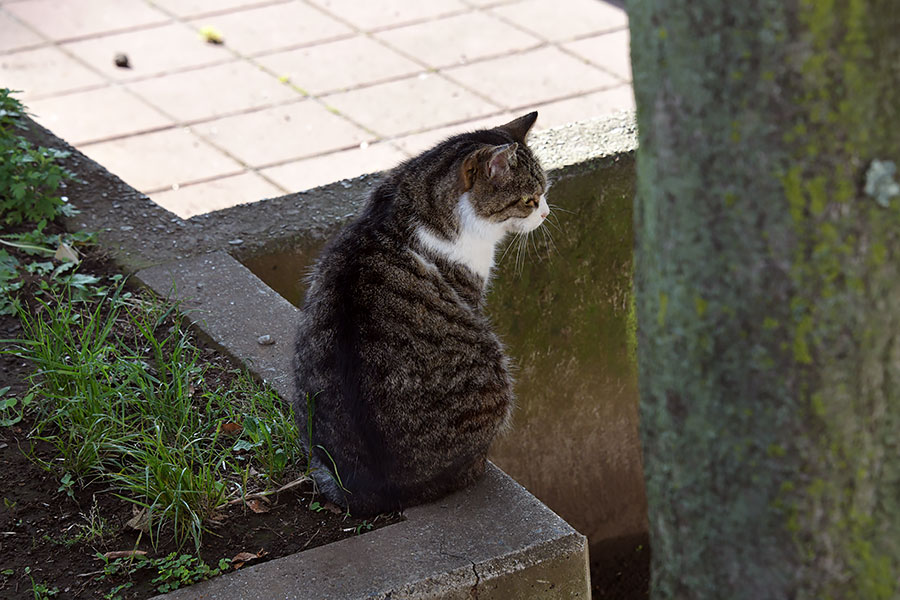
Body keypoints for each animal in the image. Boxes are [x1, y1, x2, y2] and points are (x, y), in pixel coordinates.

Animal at [294, 112, 548, 516]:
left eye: (543, 193)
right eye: (529, 199)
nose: (546, 212)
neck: (406, 210)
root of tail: (385, 490)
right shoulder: (469, 290)